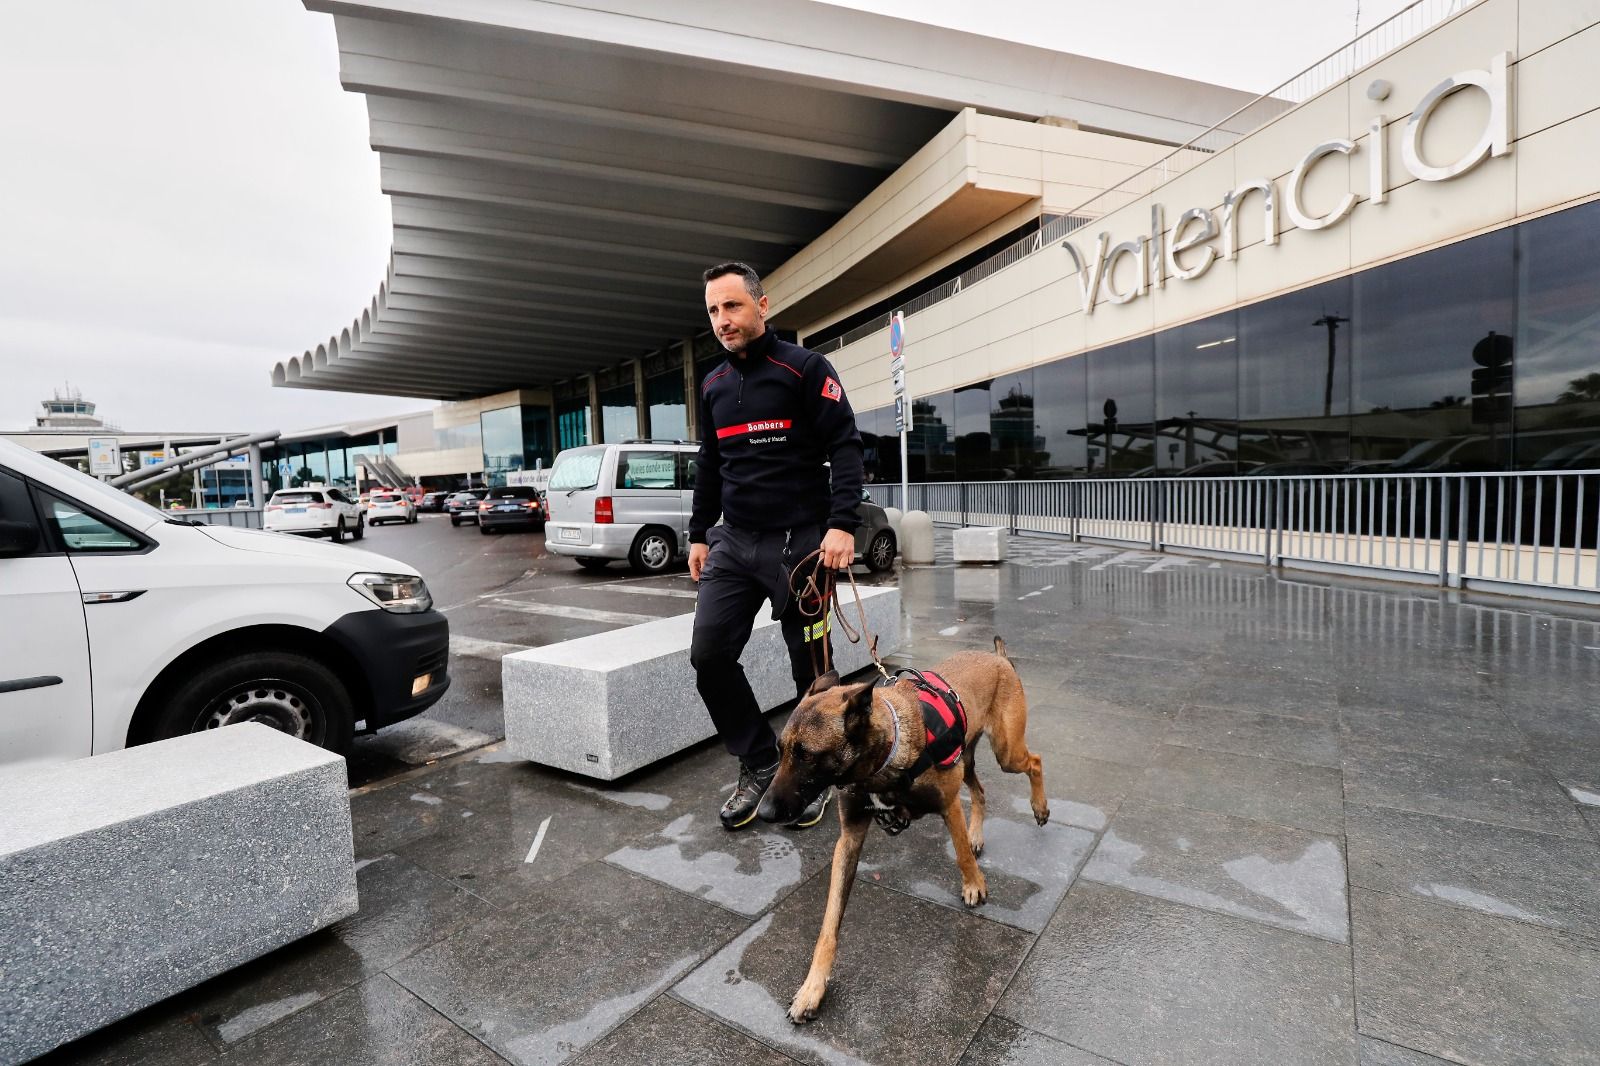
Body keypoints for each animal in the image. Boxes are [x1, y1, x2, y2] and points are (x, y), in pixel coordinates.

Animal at [752, 633, 1049, 1017]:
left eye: (807, 756)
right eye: (781, 750)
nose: (763, 813)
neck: (885, 758)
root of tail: (997, 657)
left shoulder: (948, 805)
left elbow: (959, 853)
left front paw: (973, 884)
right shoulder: (849, 839)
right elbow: (829, 923)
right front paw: (812, 987)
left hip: (1006, 752)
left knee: (1035, 762)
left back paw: (1039, 808)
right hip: (969, 758)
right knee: (980, 792)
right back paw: (978, 834)